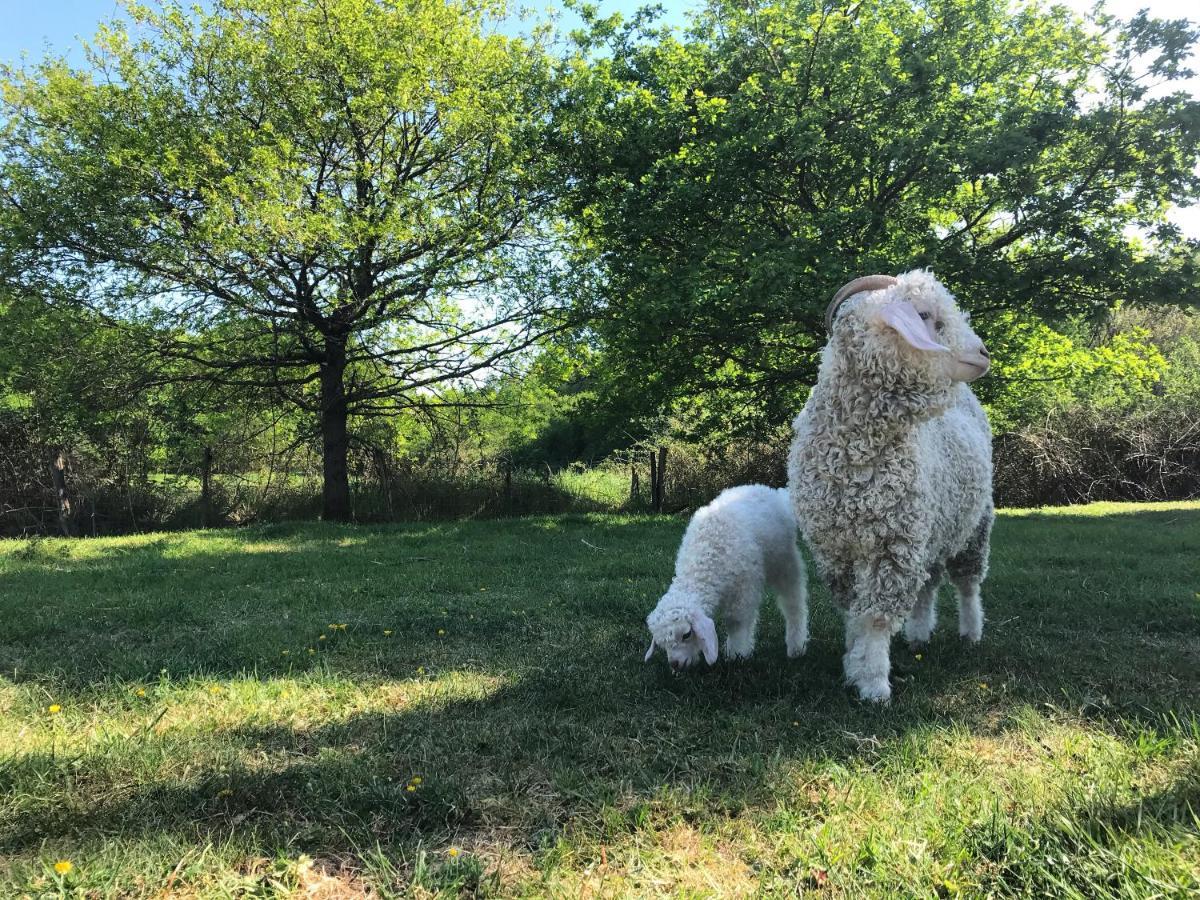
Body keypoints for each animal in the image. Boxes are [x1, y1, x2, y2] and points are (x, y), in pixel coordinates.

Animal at [648, 487, 806, 672]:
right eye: (661, 643)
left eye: (687, 634)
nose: (675, 664)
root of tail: (776, 493)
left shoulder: (744, 587)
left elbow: (735, 622)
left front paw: (736, 655)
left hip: (785, 561)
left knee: (794, 602)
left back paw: (796, 646)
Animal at [787, 267, 993, 705]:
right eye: (925, 315)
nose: (984, 354)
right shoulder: (835, 549)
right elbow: (853, 612)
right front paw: (853, 661)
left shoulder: (893, 544)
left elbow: (877, 619)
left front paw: (874, 682)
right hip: (932, 526)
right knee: (929, 584)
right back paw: (918, 635)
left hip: (975, 522)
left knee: (967, 582)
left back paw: (971, 632)